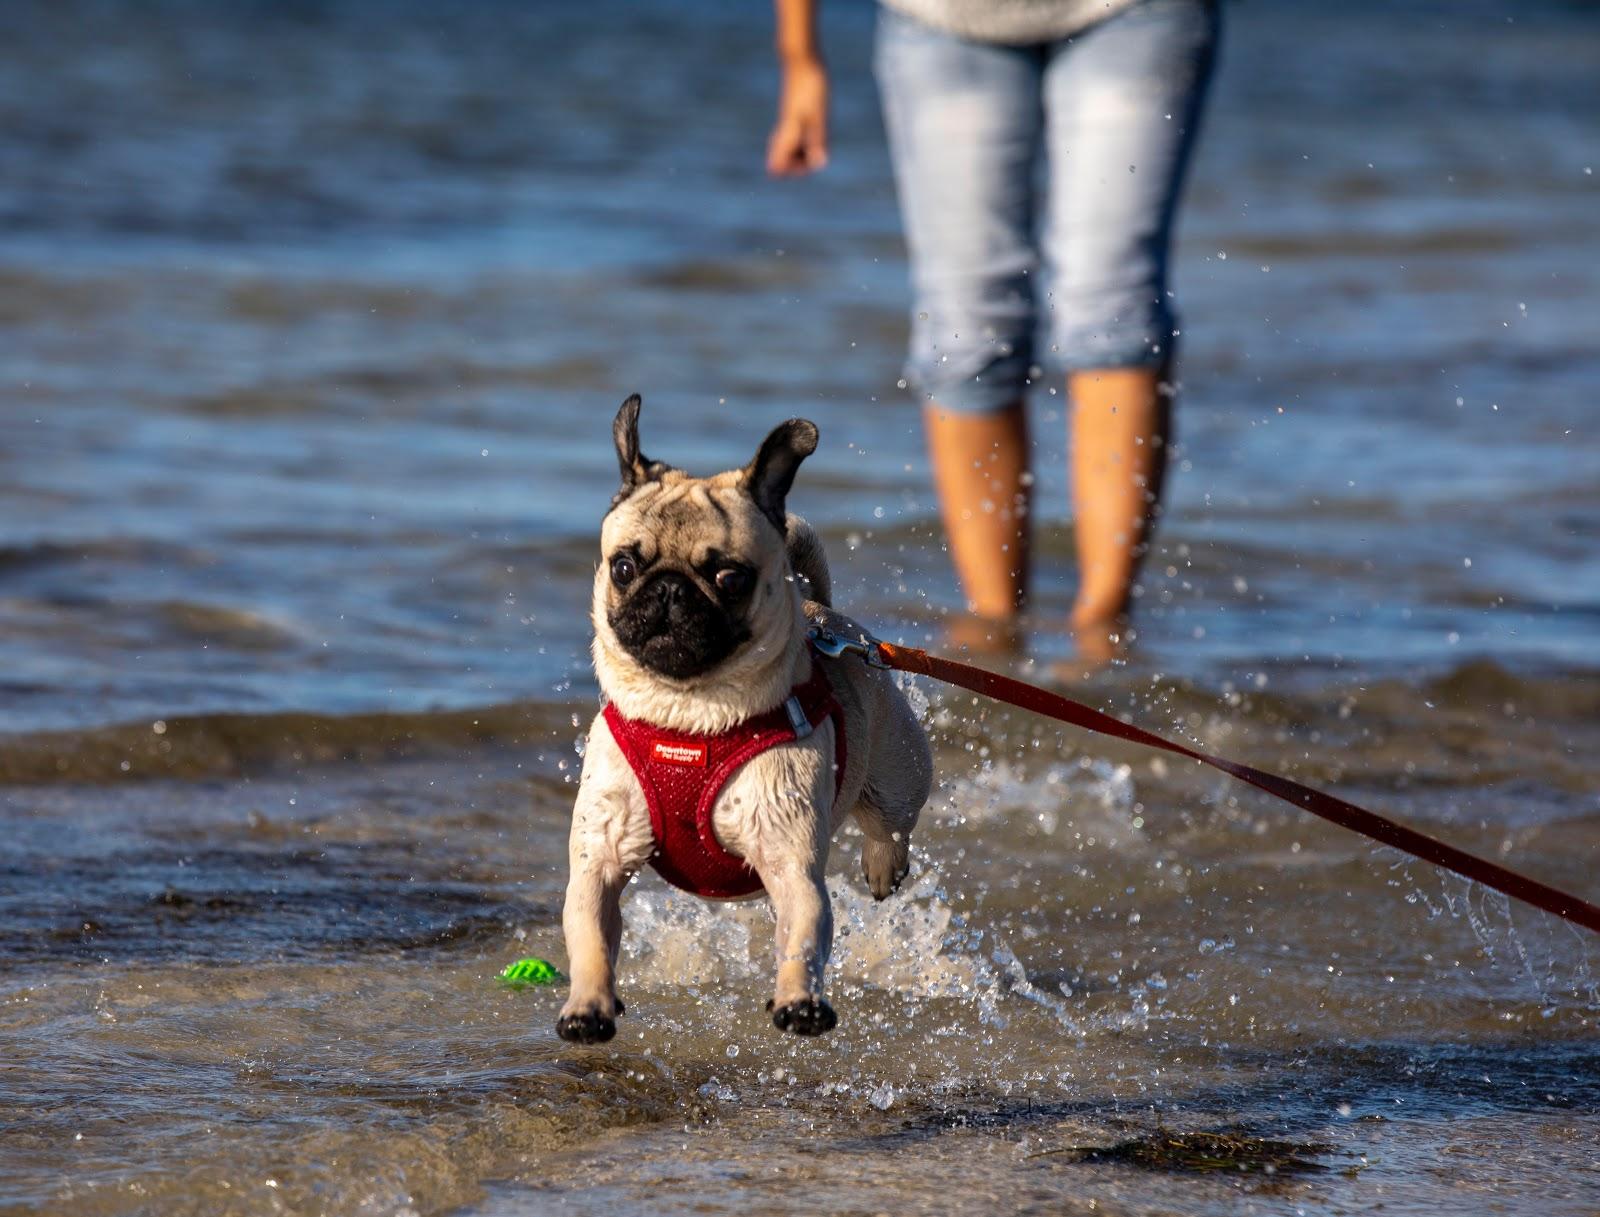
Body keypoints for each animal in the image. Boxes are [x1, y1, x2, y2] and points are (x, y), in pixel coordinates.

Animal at [560, 393, 934, 1042]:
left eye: (729, 578)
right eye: (625, 568)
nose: (669, 590)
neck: (690, 716)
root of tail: (823, 610)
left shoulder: (789, 861)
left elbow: (804, 932)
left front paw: (800, 1000)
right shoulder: (600, 855)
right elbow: (589, 933)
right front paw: (587, 1005)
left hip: (896, 772)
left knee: (891, 823)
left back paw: (883, 865)